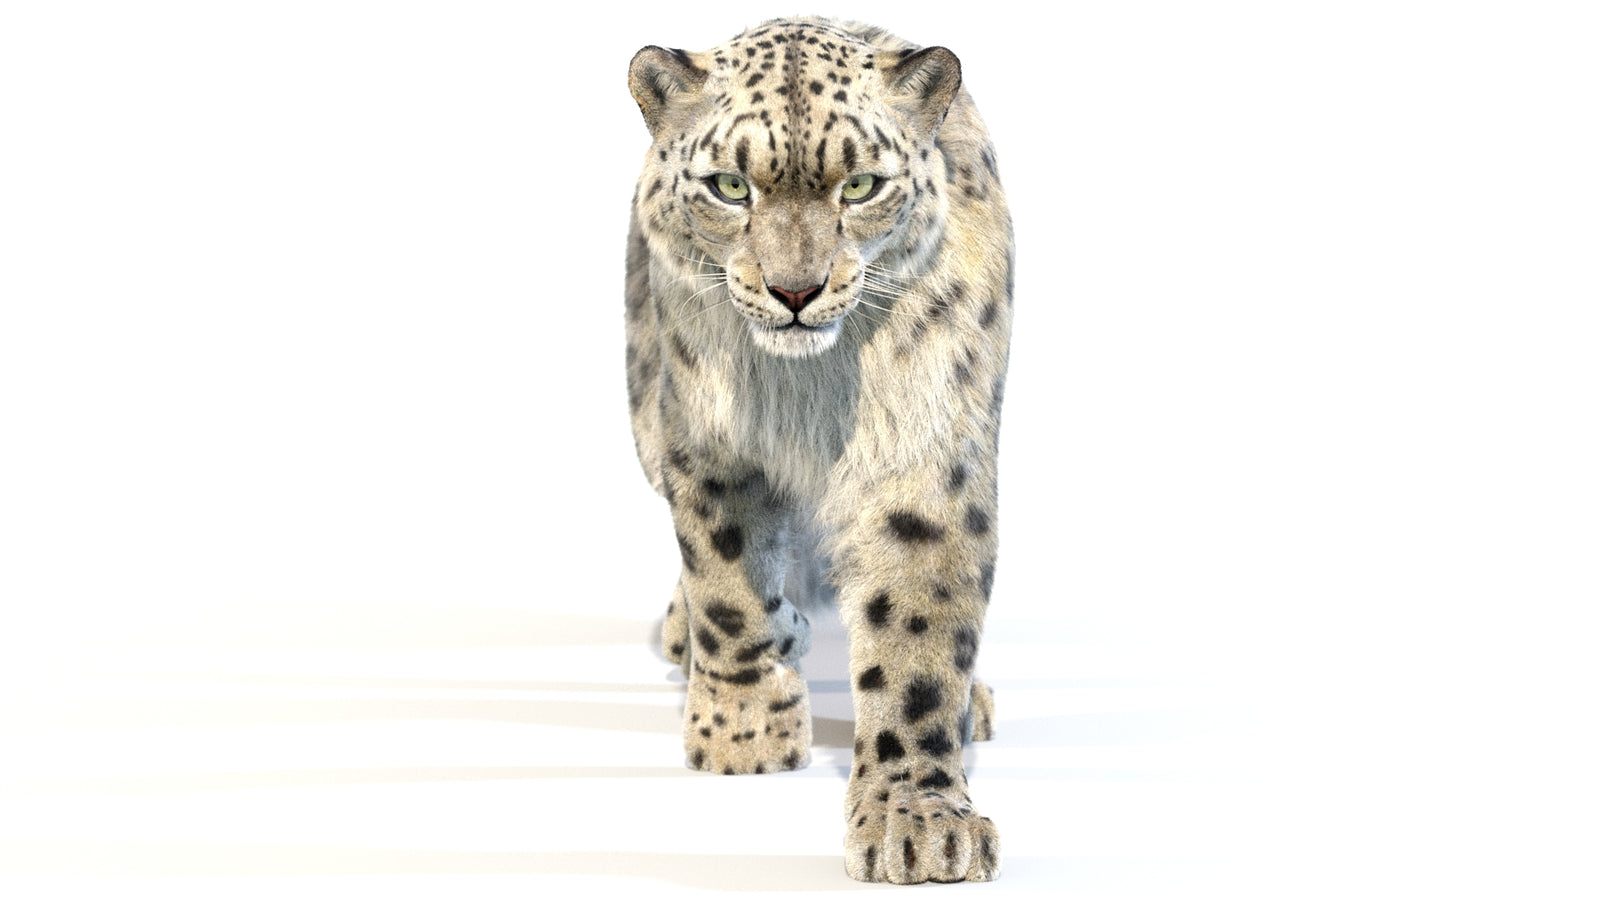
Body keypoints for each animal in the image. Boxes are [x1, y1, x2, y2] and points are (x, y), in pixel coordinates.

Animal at [623, 16, 1013, 884]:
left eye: (860, 185)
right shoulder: (706, 443)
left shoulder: (922, 455)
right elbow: (729, 587)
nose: (794, 291)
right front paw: (743, 733)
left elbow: (916, 639)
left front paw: (920, 820)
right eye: (730, 187)